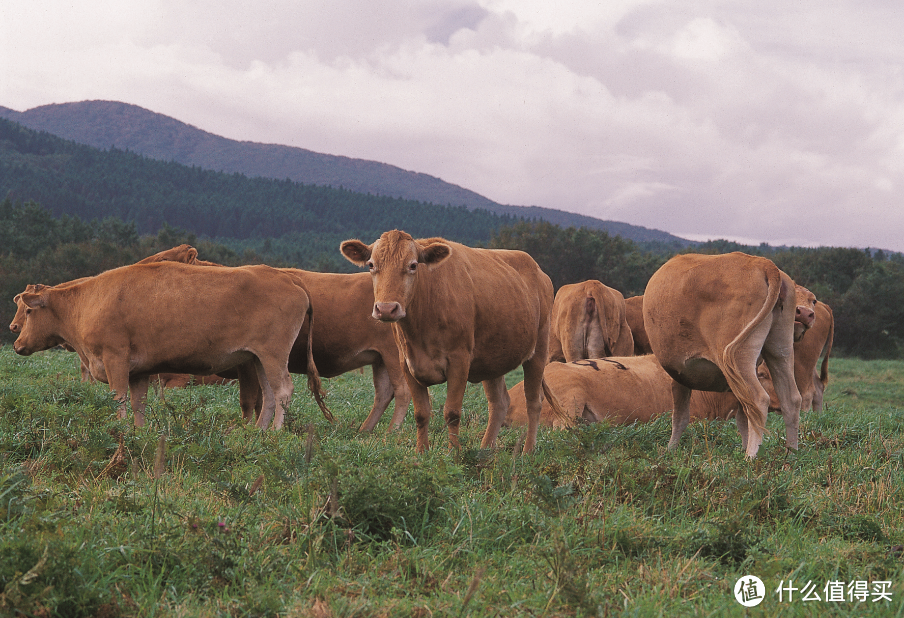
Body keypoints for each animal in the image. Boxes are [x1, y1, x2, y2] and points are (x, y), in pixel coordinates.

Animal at [11, 260, 328, 428]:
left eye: (28, 311)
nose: (16, 343)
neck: (88, 301)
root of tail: (287, 277)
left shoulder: (115, 359)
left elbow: (119, 398)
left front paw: (121, 429)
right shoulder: (139, 370)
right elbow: (138, 403)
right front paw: (138, 432)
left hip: (273, 354)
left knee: (283, 390)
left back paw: (274, 432)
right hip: (259, 358)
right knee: (270, 395)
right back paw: (258, 433)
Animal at [340, 229, 564, 450]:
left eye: (413, 265)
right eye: (371, 265)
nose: (386, 308)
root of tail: (538, 270)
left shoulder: (459, 361)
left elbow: (452, 412)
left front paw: (454, 453)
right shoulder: (407, 363)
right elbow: (421, 413)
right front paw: (421, 452)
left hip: (539, 350)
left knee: (533, 402)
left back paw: (528, 450)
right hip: (493, 358)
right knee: (499, 403)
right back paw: (485, 450)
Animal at [644, 250, 804, 458]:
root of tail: (762, 263)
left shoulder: (679, 373)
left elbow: (679, 416)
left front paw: (671, 449)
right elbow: (742, 418)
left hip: (738, 355)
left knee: (759, 400)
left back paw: (750, 456)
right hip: (780, 347)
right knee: (791, 399)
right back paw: (791, 452)